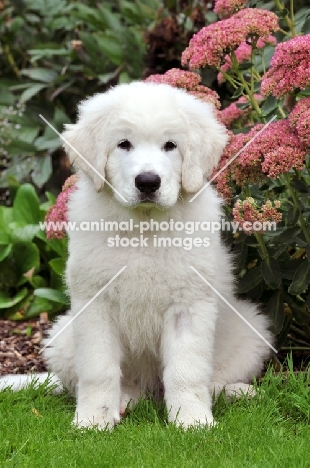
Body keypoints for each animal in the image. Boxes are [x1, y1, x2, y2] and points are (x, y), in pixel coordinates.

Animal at [0, 83, 272, 428]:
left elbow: (187, 371)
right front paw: (93, 420)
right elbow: (98, 370)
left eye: (170, 145)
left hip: (252, 329)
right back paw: (122, 402)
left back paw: (238, 392)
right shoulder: (95, 304)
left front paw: (193, 421)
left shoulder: (189, 304)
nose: (147, 182)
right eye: (123, 144)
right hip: (61, 336)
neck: (145, 225)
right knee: (109, 385)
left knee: (214, 380)